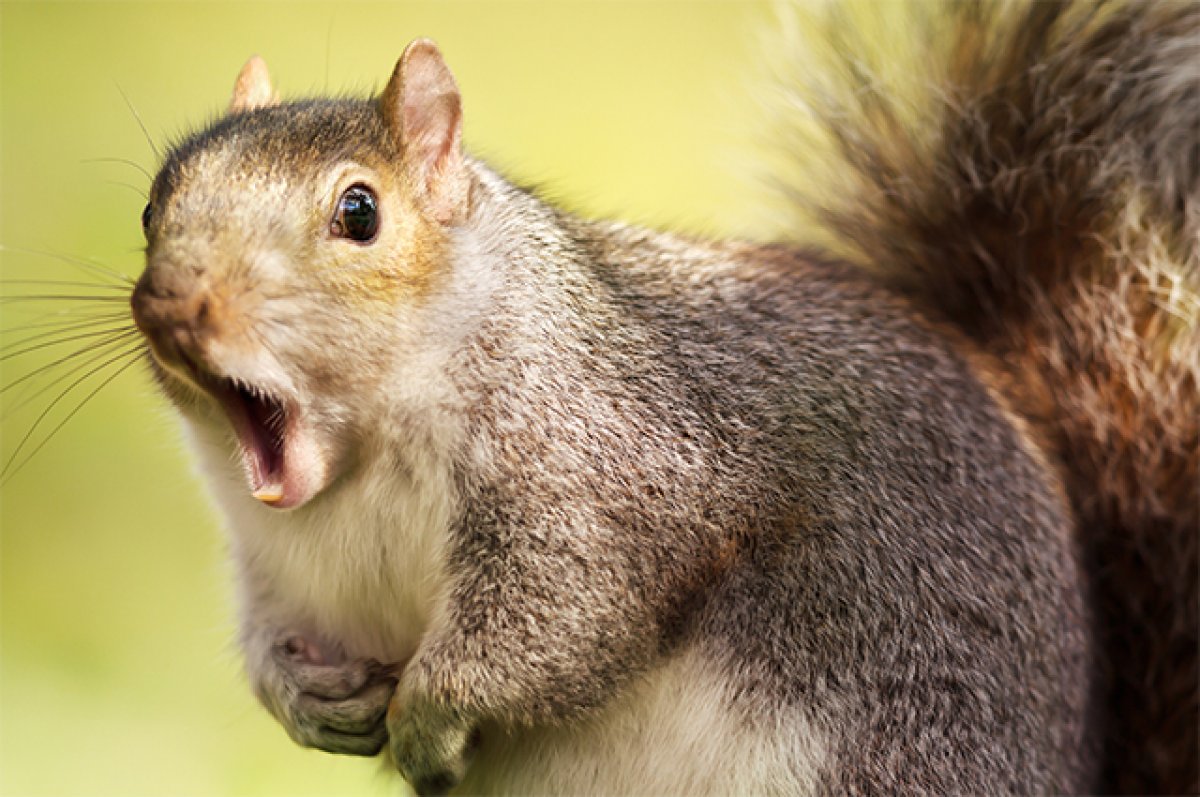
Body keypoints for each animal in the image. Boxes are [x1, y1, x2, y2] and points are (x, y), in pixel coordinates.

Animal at [127, 1, 1197, 794]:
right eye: (153, 202)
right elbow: (270, 633)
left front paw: (427, 719)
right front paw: (303, 696)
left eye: (359, 212)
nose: (172, 301)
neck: (360, 466)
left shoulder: (610, 466)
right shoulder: (278, 564)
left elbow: (560, 618)